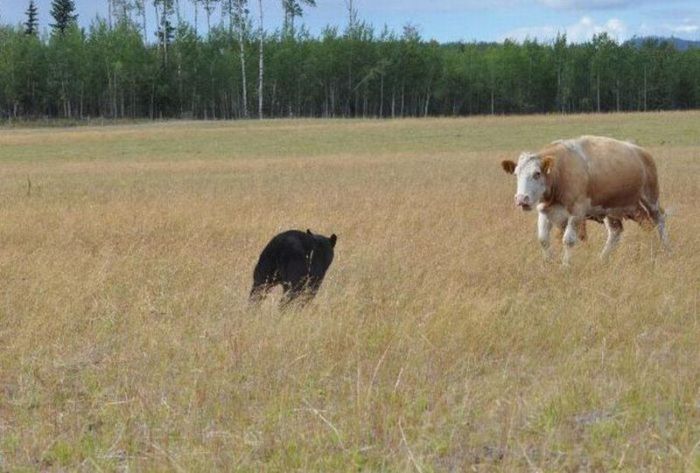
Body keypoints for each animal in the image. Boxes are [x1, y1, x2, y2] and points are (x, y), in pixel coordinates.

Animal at [500, 135, 668, 264]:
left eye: (537, 173)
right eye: (516, 174)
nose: (521, 199)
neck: (560, 171)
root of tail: (641, 152)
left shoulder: (577, 212)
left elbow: (568, 240)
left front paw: (565, 265)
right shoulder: (545, 211)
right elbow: (543, 239)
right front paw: (548, 264)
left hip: (651, 198)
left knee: (659, 219)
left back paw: (667, 249)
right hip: (613, 209)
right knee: (617, 231)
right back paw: (602, 259)